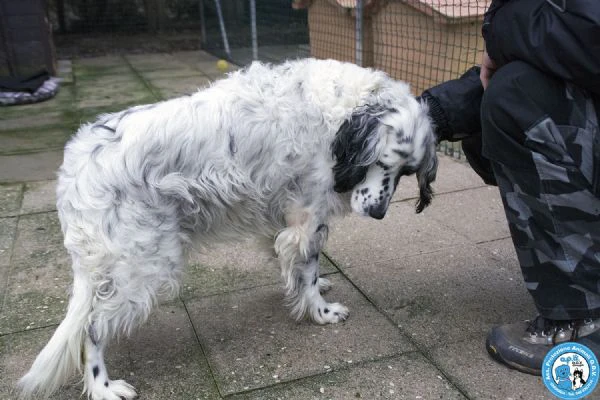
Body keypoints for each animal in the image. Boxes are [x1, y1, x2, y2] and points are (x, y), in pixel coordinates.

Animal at [18, 57, 436, 398]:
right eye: (382, 161)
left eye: (408, 171)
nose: (379, 213)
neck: (340, 111)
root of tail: (75, 166)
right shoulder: (307, 221)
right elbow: (306, 270)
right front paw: (321, 311)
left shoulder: (285, 220)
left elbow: (299, 267)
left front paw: (316, 287)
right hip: (145, 267)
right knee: (91, 330)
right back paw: (103, 387)